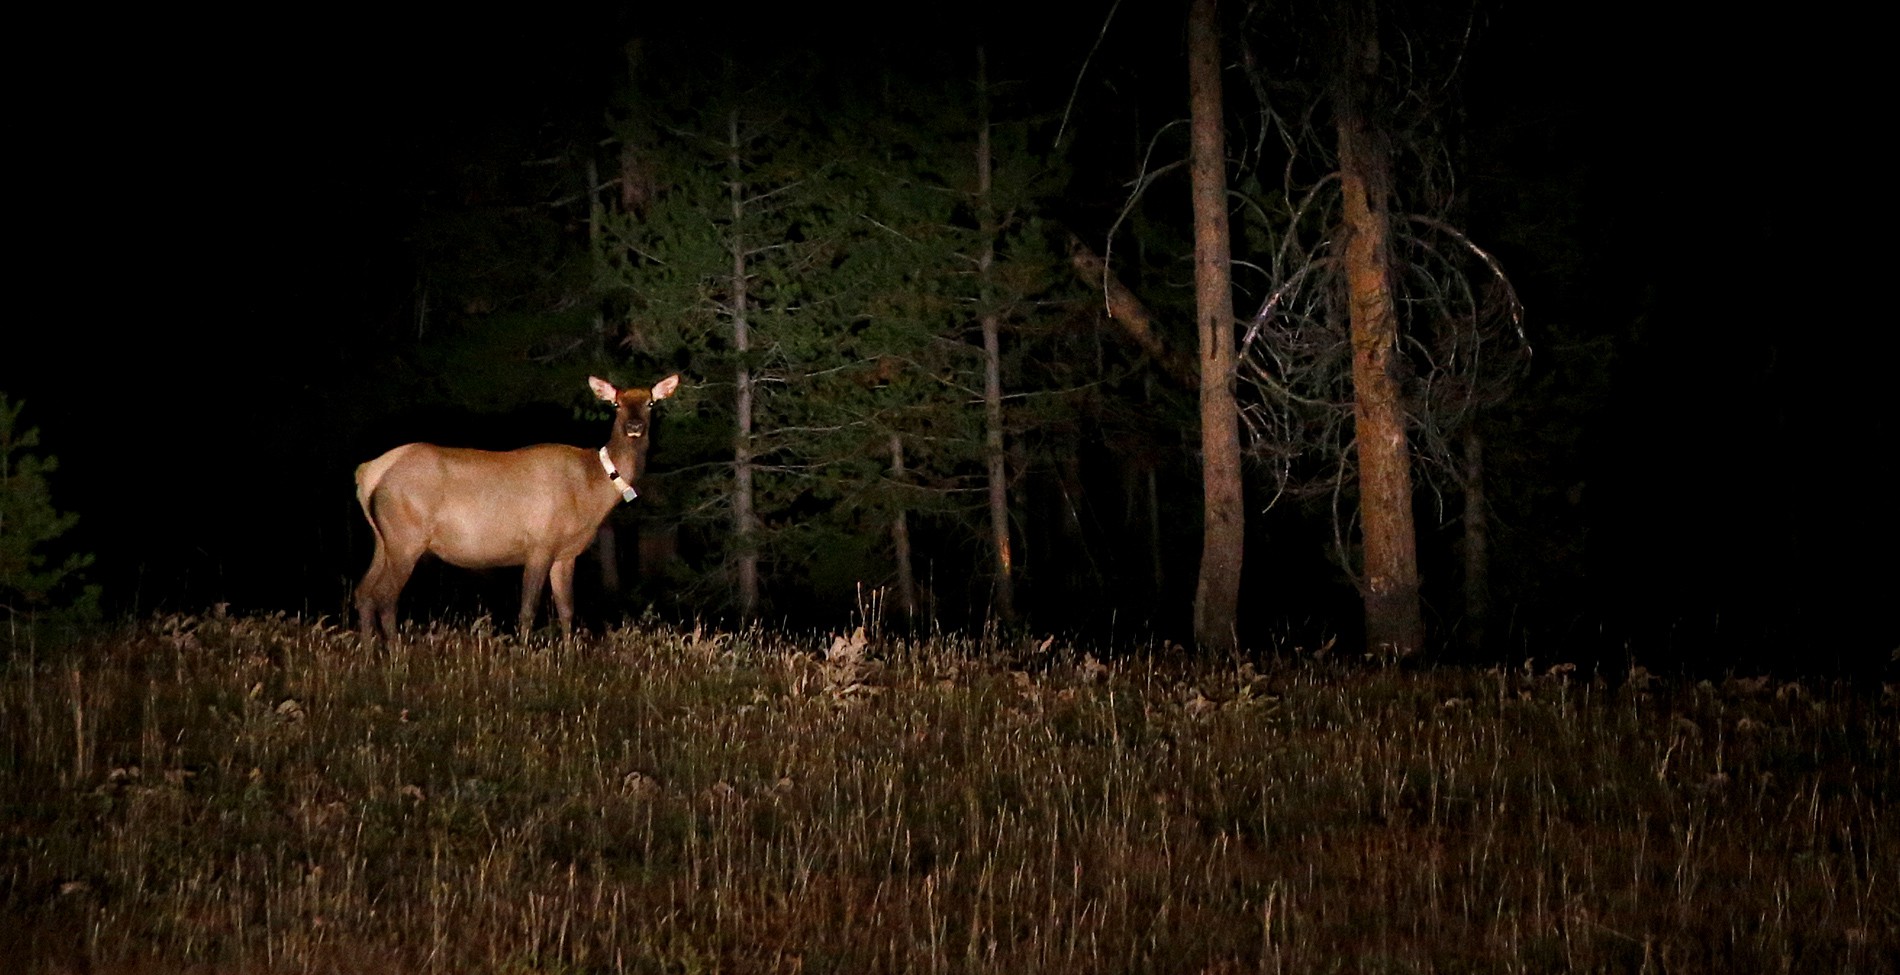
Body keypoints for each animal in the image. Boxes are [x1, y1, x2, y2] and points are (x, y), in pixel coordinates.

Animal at [357, 372, 684, 638]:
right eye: (616, 404)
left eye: (651, 403)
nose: (634, 426)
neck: (592, 490)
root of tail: (368, 473)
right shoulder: (540, 543)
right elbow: (527, 611)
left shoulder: (566, 553)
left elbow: (567, 610)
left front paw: (569, 658)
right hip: (406, 537)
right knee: (385, 597)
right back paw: (395, 656)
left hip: (383, 540)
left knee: (364, 593)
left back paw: (370, 654)